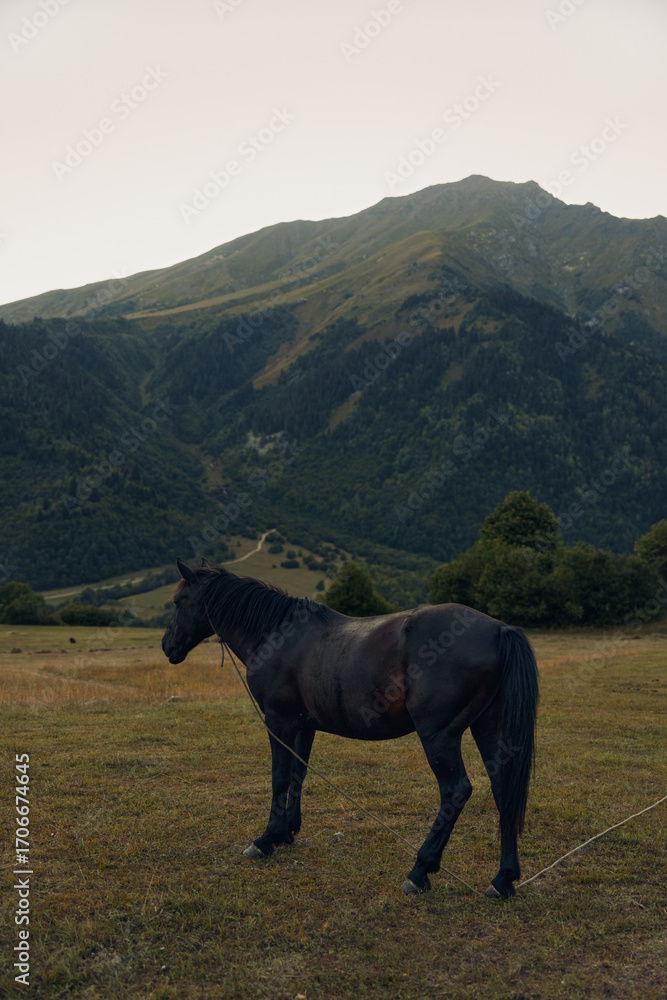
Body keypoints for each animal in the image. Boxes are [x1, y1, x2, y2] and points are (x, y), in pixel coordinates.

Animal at [161, 557, 539, 899]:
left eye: (179, 602)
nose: (167, 646)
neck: (277, 635)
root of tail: (499, 630)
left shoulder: (279, 720)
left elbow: (279, 776)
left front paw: (267, 838)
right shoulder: (303, 725)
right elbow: (298, 773)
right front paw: (288, 831)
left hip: (439, 736)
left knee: (456, 791)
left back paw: (420, 871)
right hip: (488, 728)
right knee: (503, 788)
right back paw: (503, 880)